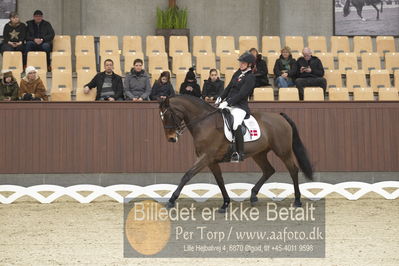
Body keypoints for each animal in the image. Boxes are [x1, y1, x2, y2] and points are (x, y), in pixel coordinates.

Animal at [160, 95, 316, 212]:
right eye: (161, 117)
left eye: (168, 115)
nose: (171, 139)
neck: (205, 123)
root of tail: (281, 117)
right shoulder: (211, 161)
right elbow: (219, 180)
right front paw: (225, 204)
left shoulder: (205, 157)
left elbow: (187, 175)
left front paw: (171, 200)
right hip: (259, 154)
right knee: (269, 170)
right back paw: (253, 196)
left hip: (283, 151)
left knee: (293, 170)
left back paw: (297, 200)